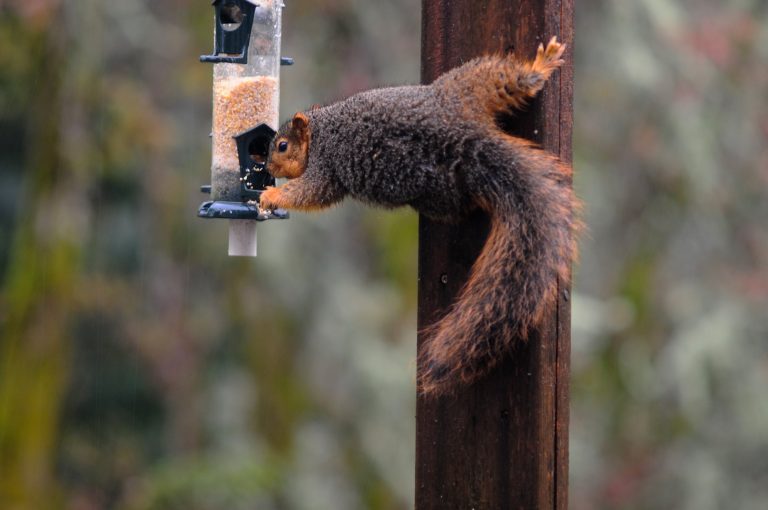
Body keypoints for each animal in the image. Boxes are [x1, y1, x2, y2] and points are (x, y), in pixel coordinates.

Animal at [260, 37, 580, 396]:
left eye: (282, 146)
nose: (268, 167)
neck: (320, 131)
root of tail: (464, 142)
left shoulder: (324, 168)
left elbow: (310, 193)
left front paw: (270, 196)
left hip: (440, 189)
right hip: (466, 89)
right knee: (508, 81)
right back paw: (541, 66)